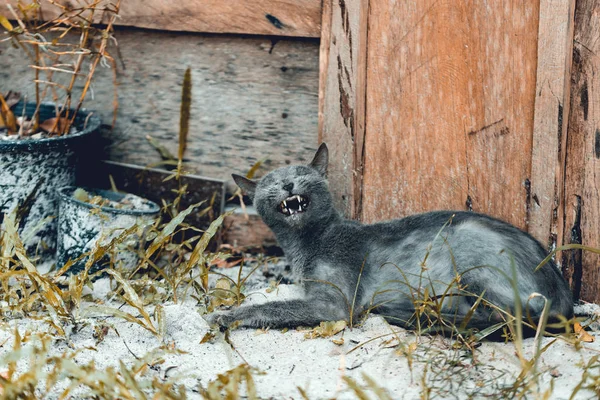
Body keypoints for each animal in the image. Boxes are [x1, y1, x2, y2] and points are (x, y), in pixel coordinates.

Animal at [209, 144, 576, 334]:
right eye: (271, 183)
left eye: (302, 174)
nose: (287, 185)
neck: (306, 244)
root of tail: (565, 298)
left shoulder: (333, 304)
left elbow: (273, 306)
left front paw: (226, 315)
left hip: (471, 259)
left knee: (506, 317)